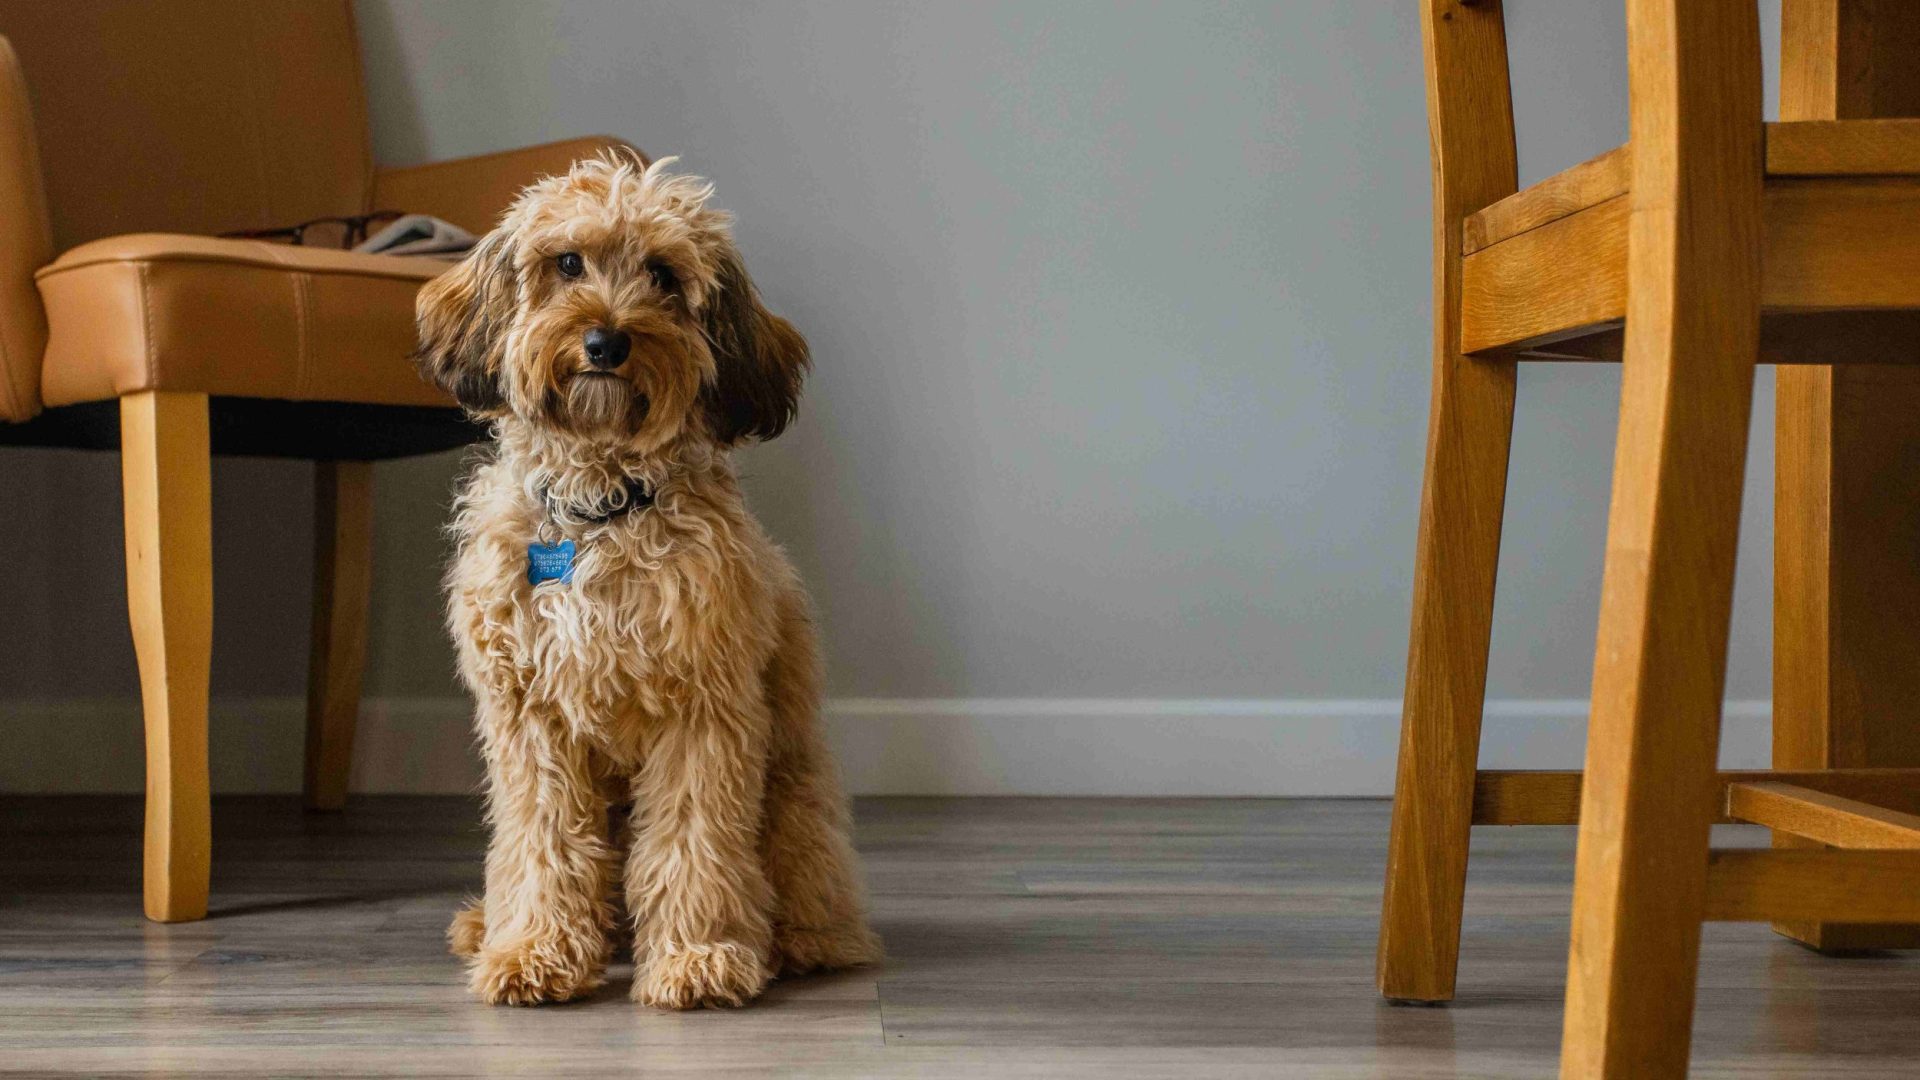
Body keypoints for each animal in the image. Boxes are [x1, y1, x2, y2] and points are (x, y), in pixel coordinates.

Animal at [416, 153, 879, 1006]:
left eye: (663, 275)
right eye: (567, 264)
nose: (605, 341)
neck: (600, 507)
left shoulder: (702, 709)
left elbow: (694, 840)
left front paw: (699, 956)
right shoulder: (532, 723)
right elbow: (541, 842)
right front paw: (533, 950)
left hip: (795, 798)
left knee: (806, 878)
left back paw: (801, 942)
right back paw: (495, 925)